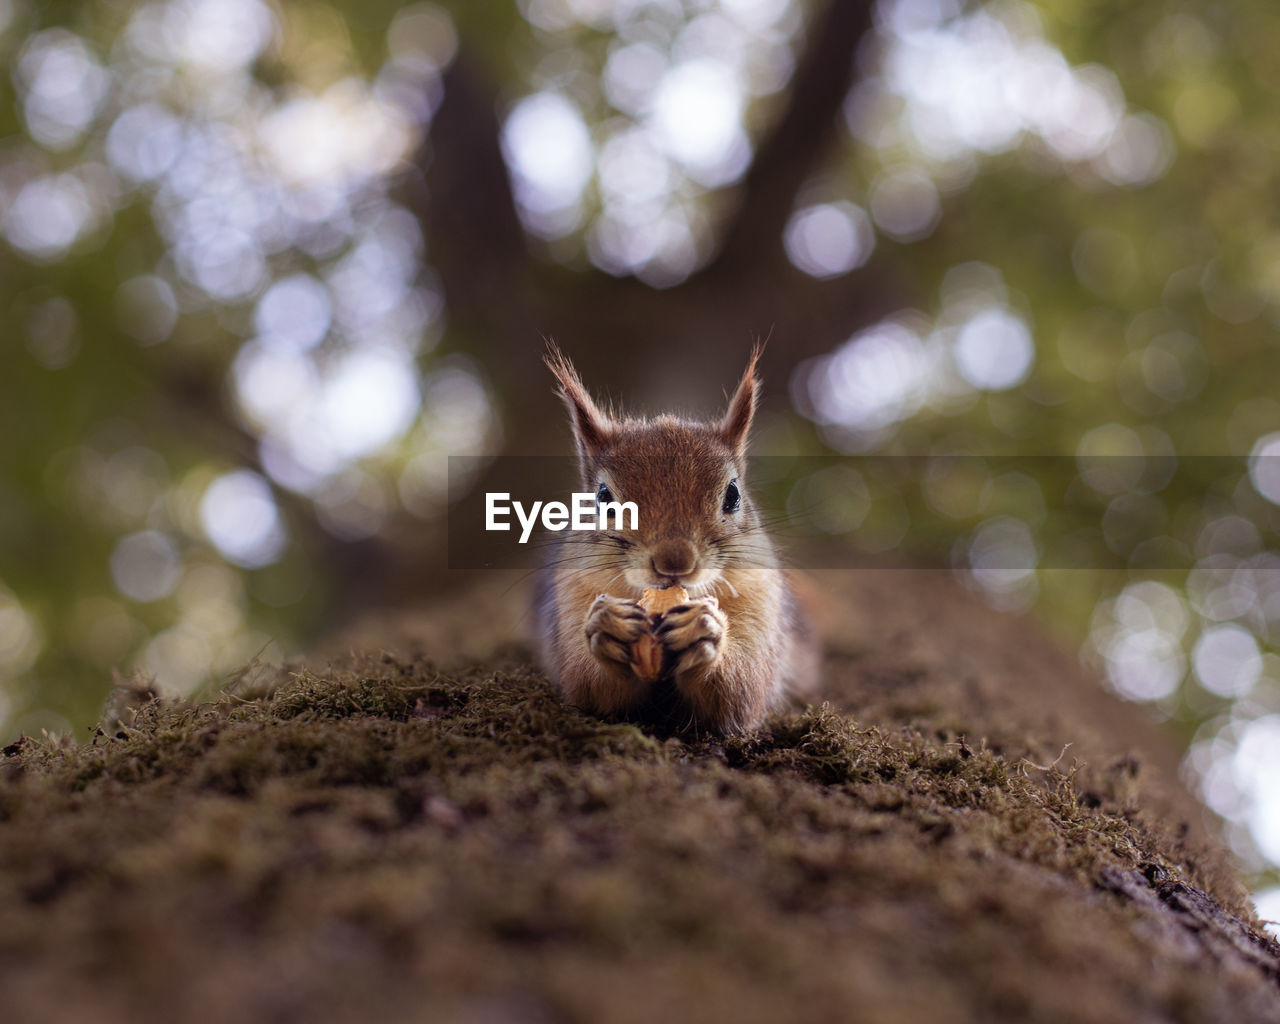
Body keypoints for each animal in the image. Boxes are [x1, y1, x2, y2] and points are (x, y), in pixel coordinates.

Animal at [532, 345, 819, 737]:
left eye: (733, 494)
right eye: (603, 497)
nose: (675, 562)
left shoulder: (761, 600)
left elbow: (740, 692)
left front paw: (703, 630)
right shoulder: (570, 595)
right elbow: (588, 686)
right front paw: (609, 625)